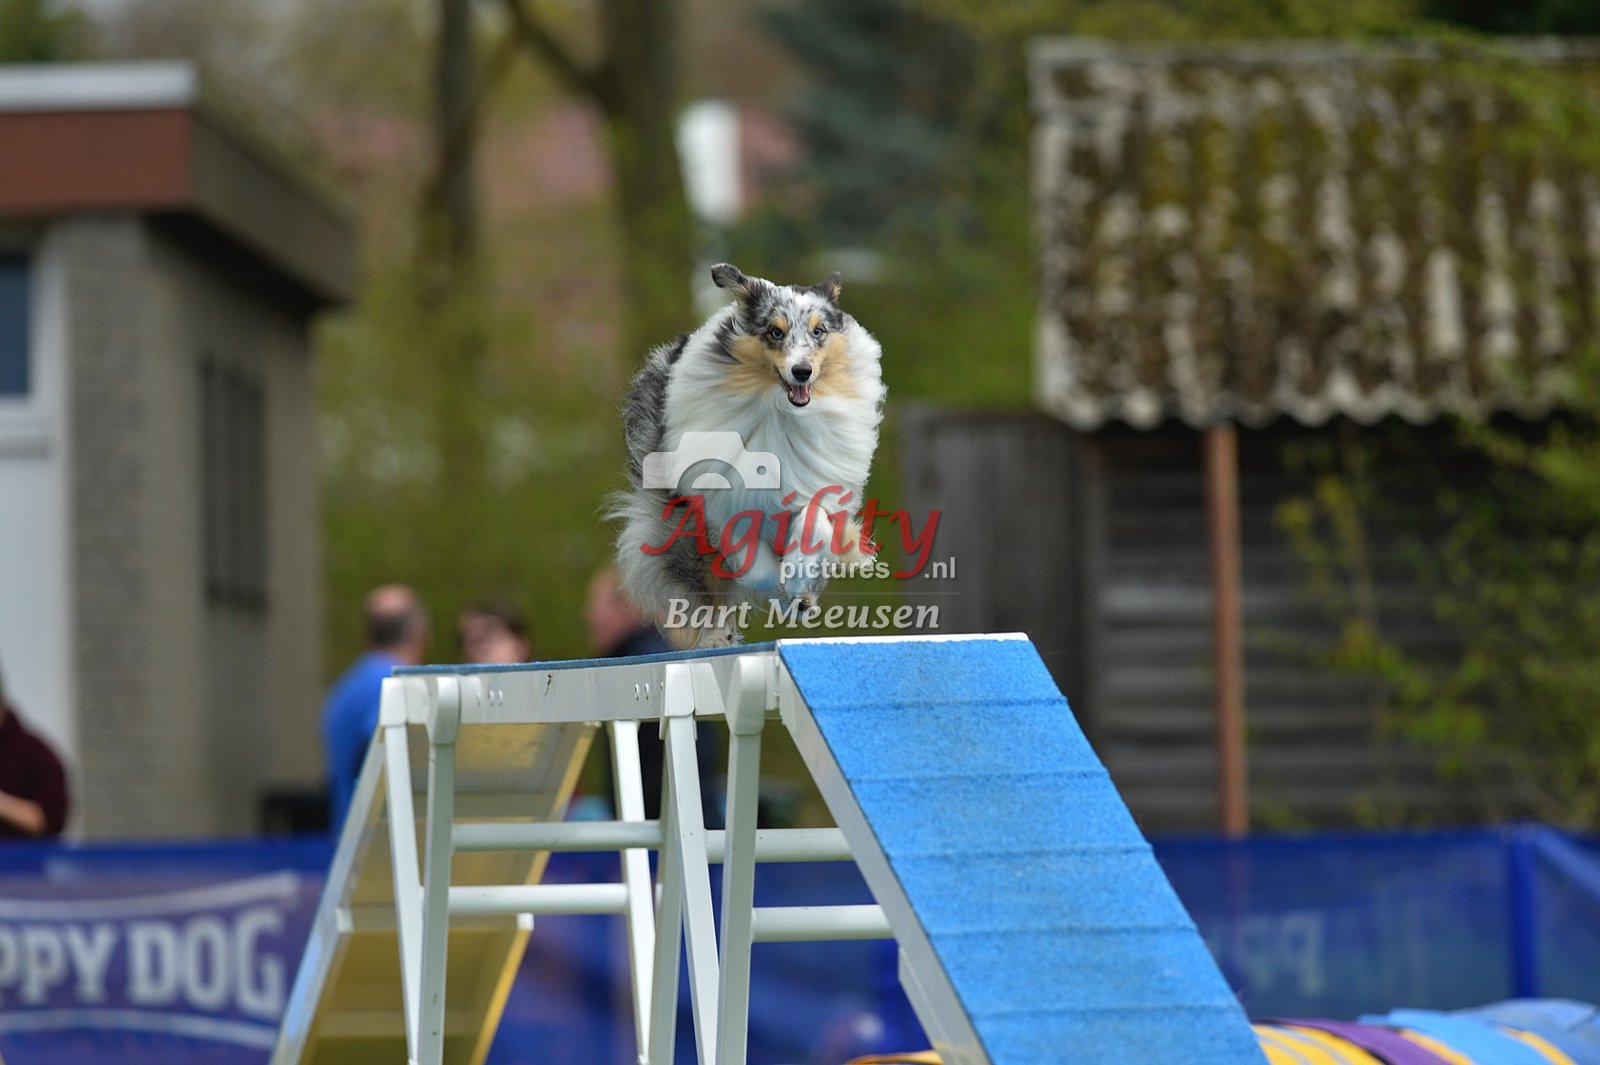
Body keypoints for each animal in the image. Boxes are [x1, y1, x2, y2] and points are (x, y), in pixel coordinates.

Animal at [611, 263, 886, 648]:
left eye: (818, 331)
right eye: (774, 332)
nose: (802, 371)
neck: (781, 411)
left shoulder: (816, 486)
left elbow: (813, 521)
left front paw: (798, 582)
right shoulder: (720, 504)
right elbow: (754, 568)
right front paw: (778, 588)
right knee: (708, 588)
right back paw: (718, 636)